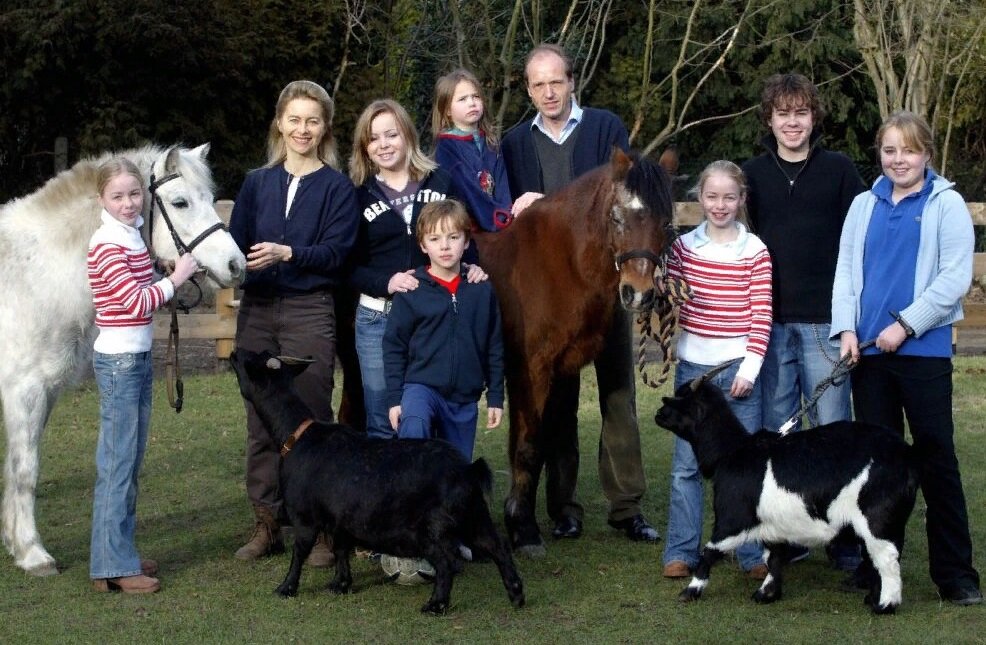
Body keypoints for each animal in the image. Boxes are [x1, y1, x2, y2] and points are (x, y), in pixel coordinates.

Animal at [0, 145, 246, 572]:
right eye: (180, 202)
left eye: (211, 198)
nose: (237, 266)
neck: (35, 275)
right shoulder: (24, 390)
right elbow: (25, 468)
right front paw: (32, 553)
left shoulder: (43, 393)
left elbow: (18, 467)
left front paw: (14, 541)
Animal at [231, 348, 528, 612]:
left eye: (251, 362)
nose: (235, 353)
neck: (297, 435)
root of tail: (466, 470)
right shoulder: (340, 520)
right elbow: (340, 550)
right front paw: (340, 584)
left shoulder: (304, 516)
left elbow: (300, 552)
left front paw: (286, 588)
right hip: (475, 515)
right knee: (498, 547)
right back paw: (516, 594)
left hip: (432, 528)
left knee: (445, 562)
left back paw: (436, 605)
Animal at [652, 360, 916, 612]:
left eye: (681, 400)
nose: (658, 413)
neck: (734, 451)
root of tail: (905, 454)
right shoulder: (773, 525)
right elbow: (774, 557)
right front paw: (766, 594)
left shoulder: (732, 518)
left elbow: (710, 551)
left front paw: (690, 591)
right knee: (879, 557)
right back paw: (872, 598)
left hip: (876, 519)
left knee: (886, 558)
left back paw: (885, 605)